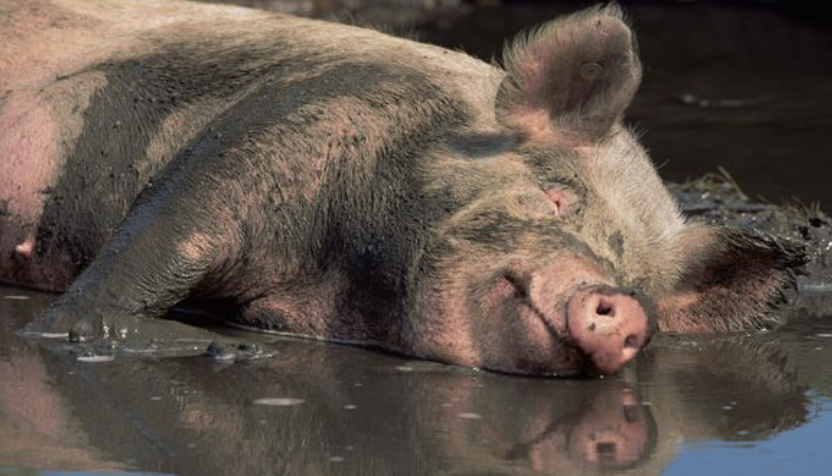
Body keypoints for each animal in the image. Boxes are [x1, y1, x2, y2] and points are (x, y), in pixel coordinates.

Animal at [1, 1, 808, 378]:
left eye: (640, 278)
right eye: (555, 197)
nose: (625, 304)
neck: (334, 284)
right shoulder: (261, 137)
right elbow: (119, 283)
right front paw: (234, 354)